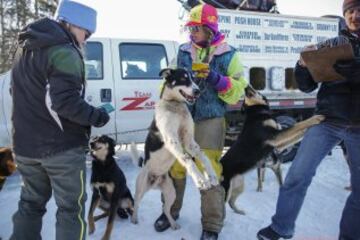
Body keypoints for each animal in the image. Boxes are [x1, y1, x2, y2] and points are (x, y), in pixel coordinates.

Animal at [131, 68, 218, 230]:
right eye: (183, 79)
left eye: (193, 78)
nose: (197, 91)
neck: (175, 106)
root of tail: (155, 182)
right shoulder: (173, 141)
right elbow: (188, 160)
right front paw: (201, 180)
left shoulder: (189, 142)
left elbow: (204, 158)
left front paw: (212, 176)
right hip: (140, 188)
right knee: (136, 203)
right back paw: (134, 218)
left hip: (171, 192)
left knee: (166, 209)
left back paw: (172, 224)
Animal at [219, 85, 324, 213]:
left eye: (255, 90)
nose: (246, 86)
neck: (258, 114)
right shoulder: (275, 137)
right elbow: (297, 125)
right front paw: (315, 118)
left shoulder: (278, 144)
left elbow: (298, 133)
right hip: (226, 191)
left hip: (239, 185)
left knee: (231, 202)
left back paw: (240, 212)